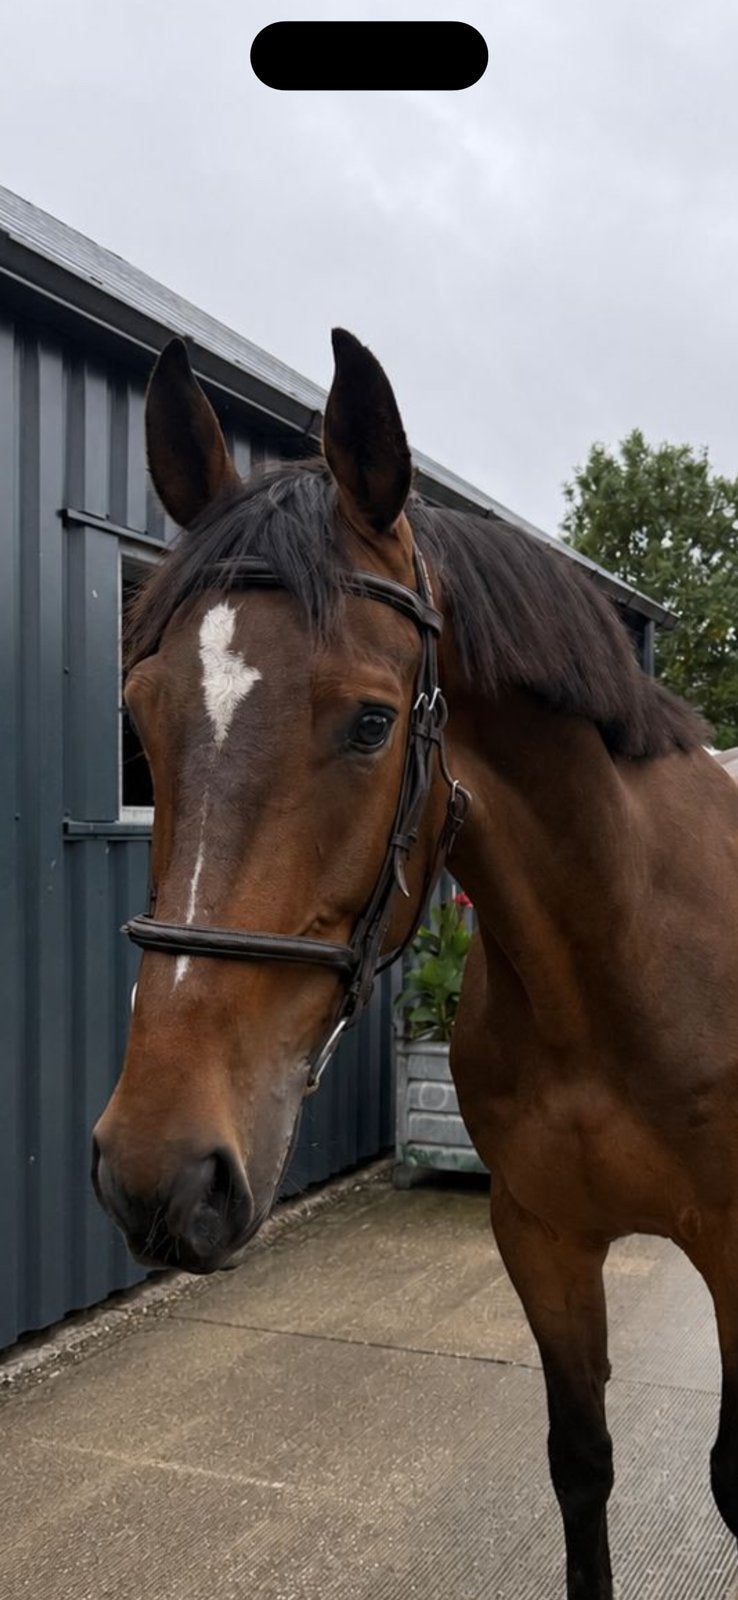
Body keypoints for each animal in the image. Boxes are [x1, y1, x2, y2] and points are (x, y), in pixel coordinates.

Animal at [92, 329, 738, 1600]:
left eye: (373, 722)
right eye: (140, 711)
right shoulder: (541, 1235)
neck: (618, 966)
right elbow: (581, 1463)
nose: (157, 1171)